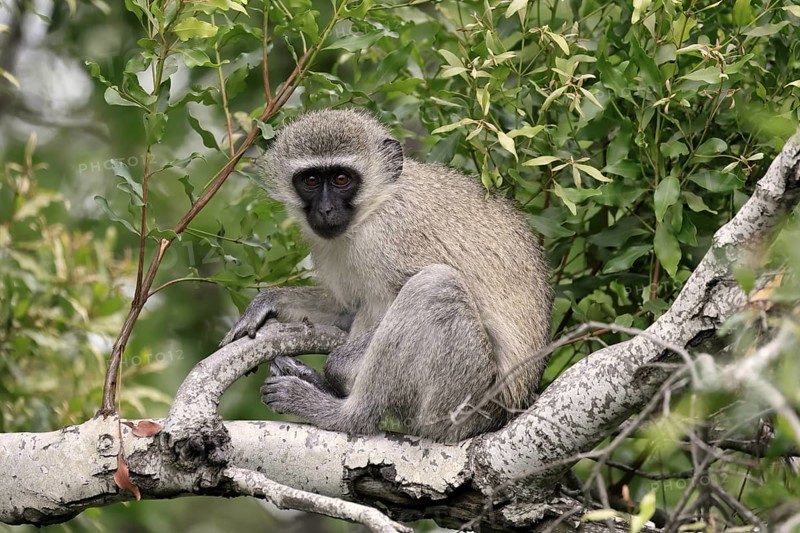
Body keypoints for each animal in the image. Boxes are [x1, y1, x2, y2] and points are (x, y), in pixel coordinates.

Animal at [220, 108, 552, 442]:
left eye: (342, 179)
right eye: (311, 180)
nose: (325, 210)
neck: (374, 207)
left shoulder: (392, 236)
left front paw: (335, 370)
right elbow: (347, 307)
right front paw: (267, 303)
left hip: (465, 399)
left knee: (435, 286)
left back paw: (344, 413)